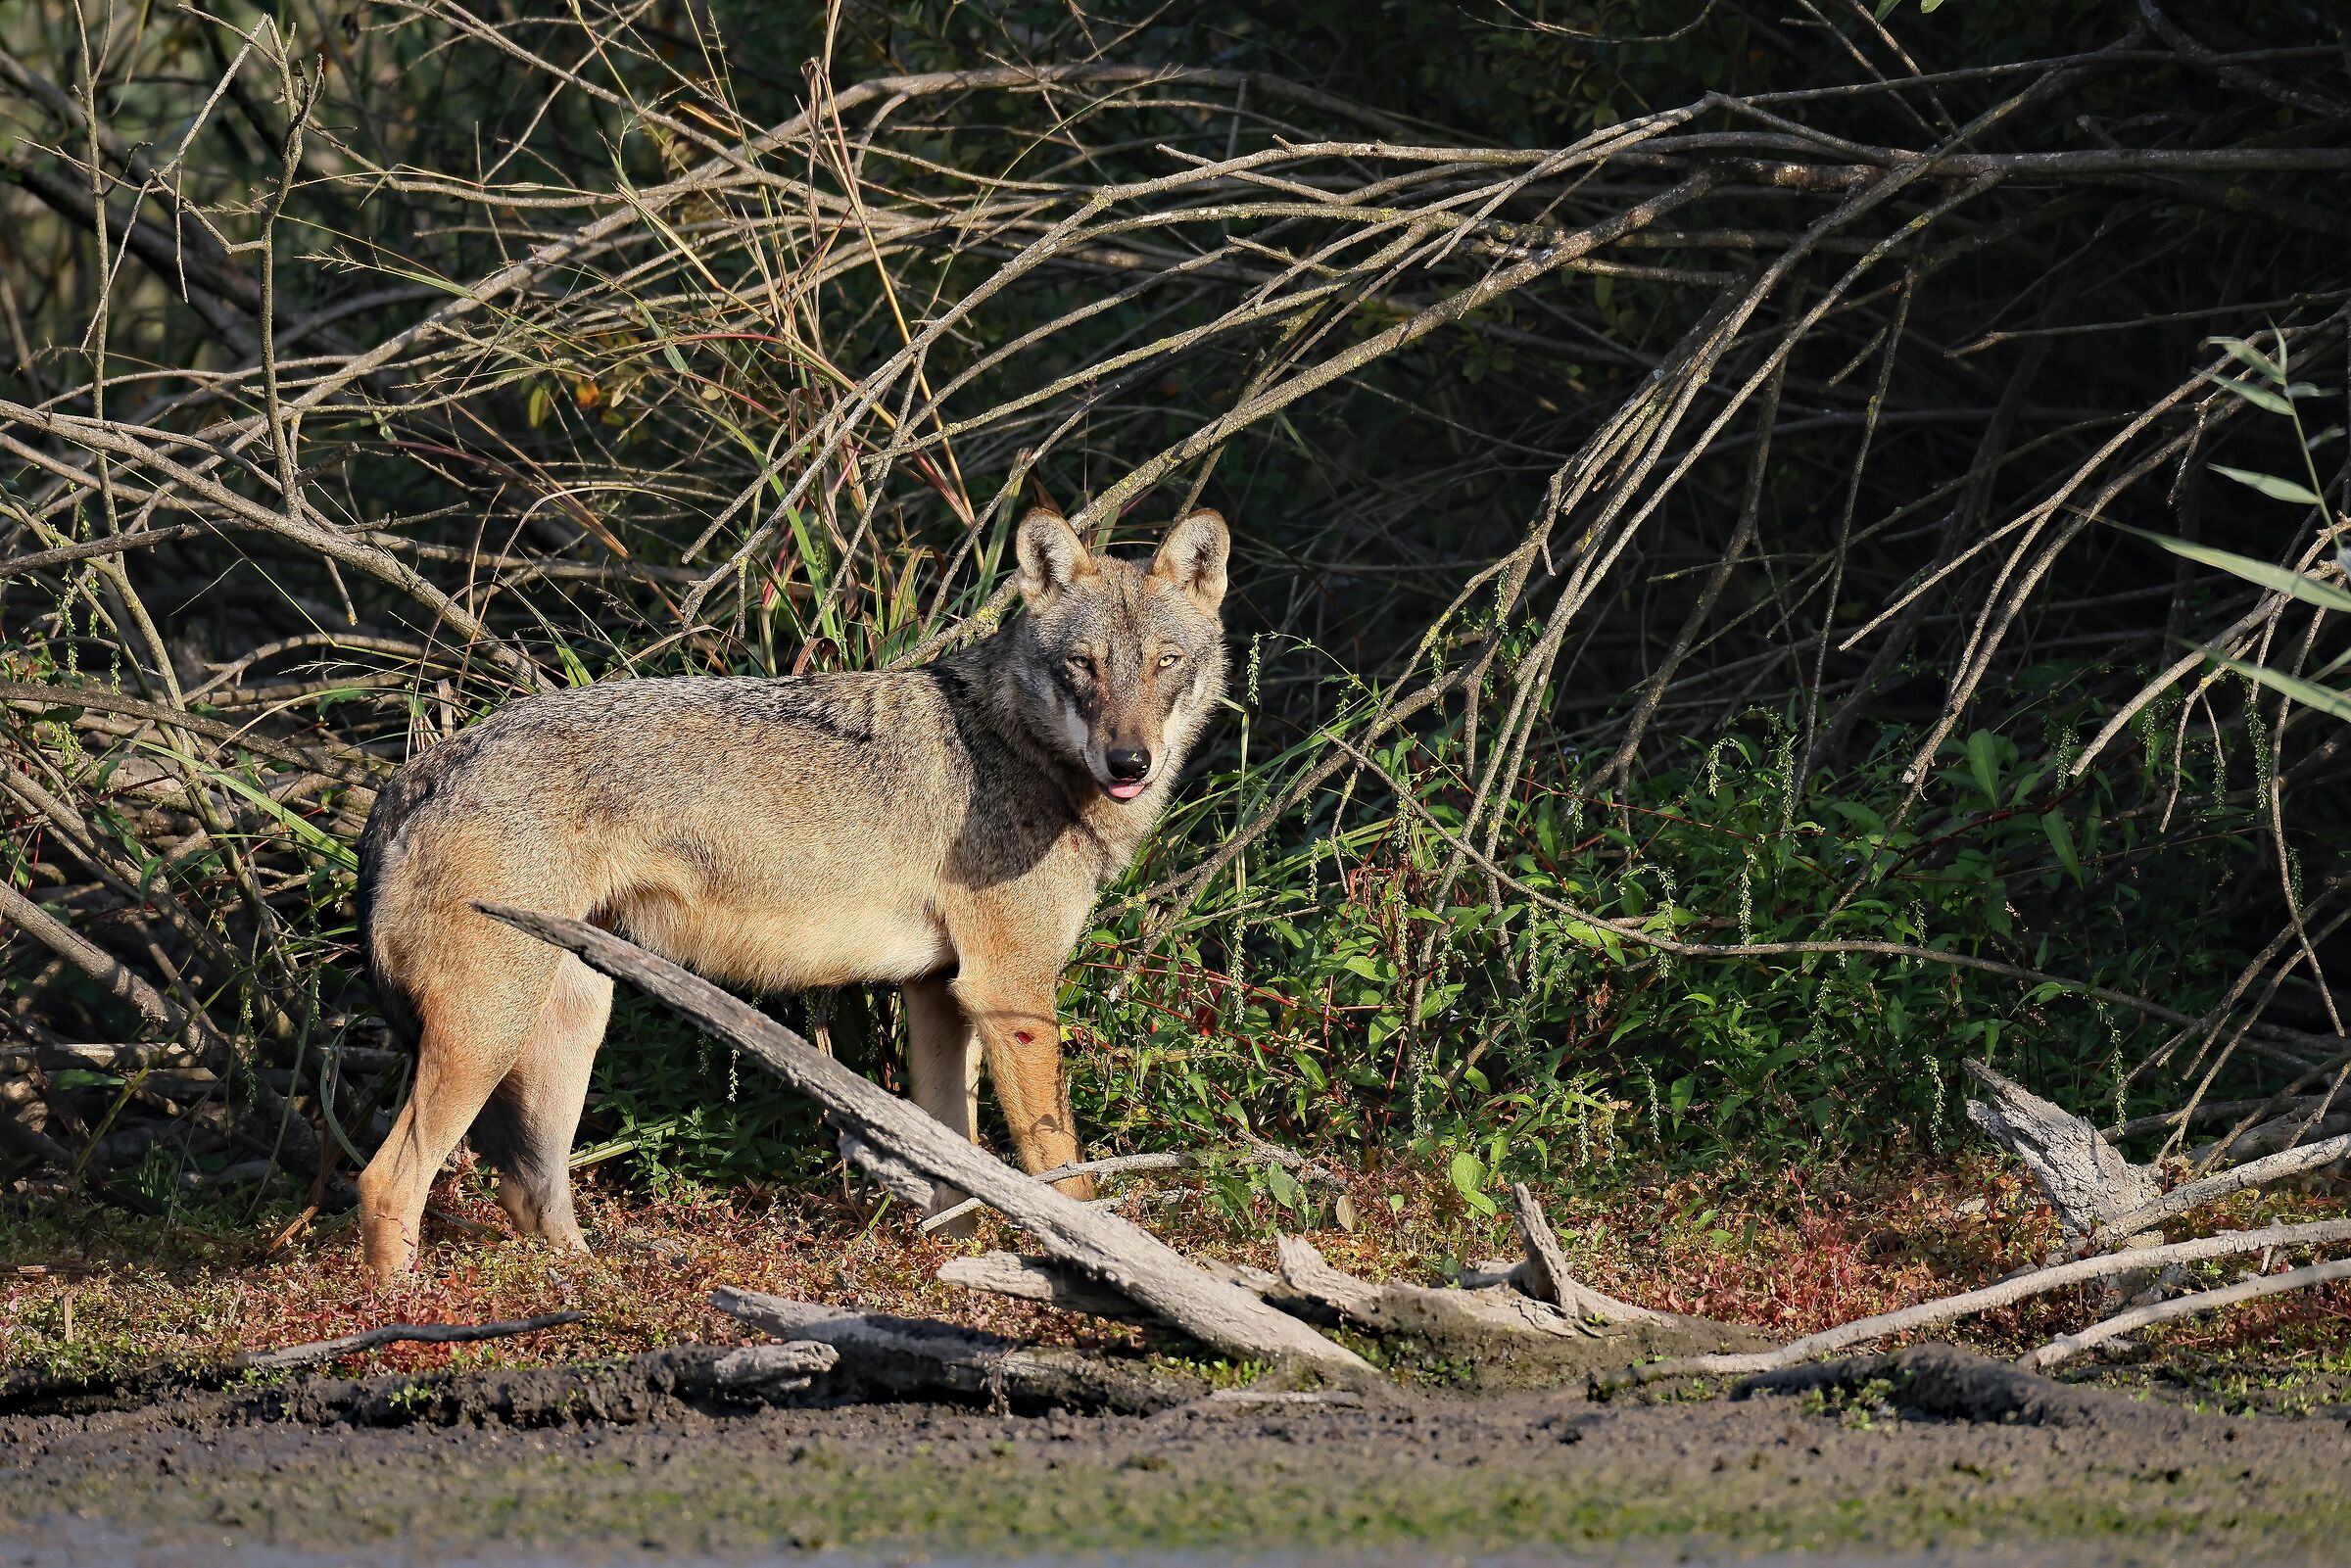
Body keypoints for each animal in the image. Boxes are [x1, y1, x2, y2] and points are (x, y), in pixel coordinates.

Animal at [353, 507, 1229, 1279]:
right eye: (1082, 664)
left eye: (1164, 663)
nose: (1129, 762)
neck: (1020, 750)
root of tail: (416, 770)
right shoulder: (1010, 993)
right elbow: (1062, 1172)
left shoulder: (938, 995)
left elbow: (957, 1173)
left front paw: (953, 1276)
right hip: (489, 1031)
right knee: (388, 1181)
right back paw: (404, 1315)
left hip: (570, 1025)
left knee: (528, 1189)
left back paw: (591, 1289)